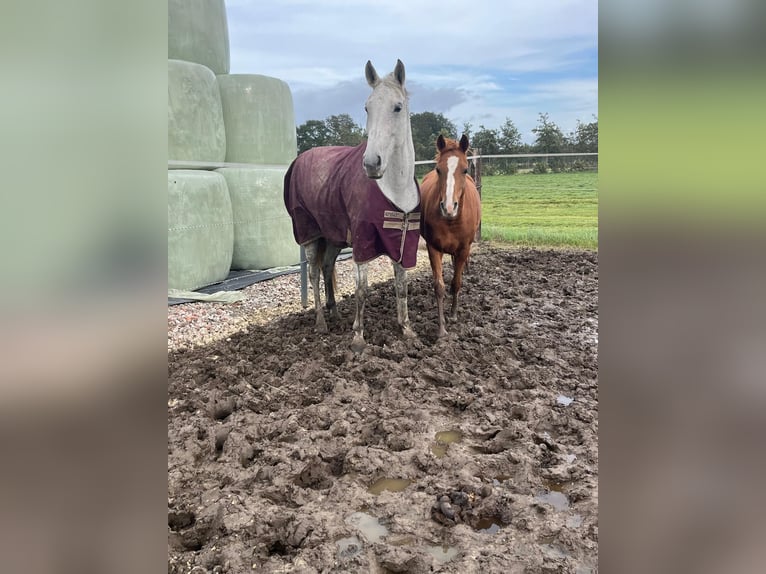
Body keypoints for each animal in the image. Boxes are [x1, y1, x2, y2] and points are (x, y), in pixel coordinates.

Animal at [420, 136, 480, 340]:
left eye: (465, 169)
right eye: (439, 169)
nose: (448, 207)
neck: (451, 221)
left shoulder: (463, 250)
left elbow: (456, 283)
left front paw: (453, 315)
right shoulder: (433, 248)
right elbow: (439, 287)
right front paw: (441, 328)